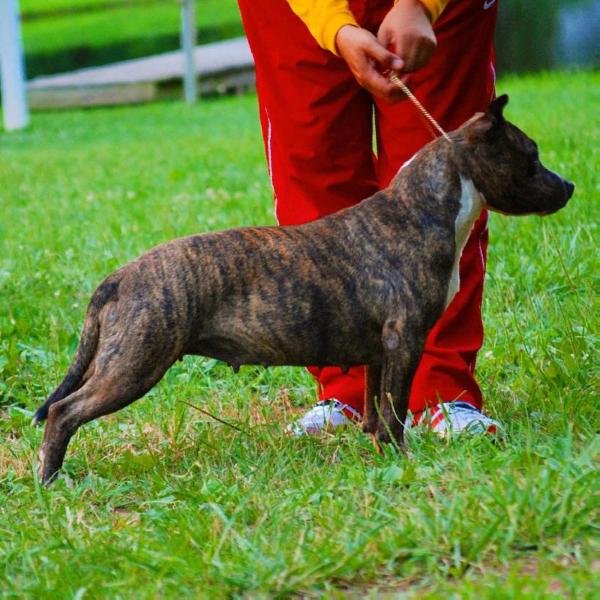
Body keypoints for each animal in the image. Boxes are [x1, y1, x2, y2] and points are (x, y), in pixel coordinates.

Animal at [35, 97, 576, 482]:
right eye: (531, 157)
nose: (569, 187)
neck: (425, 206)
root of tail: (120, 277)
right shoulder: (405, 341)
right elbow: (396, 409)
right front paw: (405, 460)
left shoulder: (379, 350)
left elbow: (377, 408)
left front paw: (379, 453)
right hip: (134, 364)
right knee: (63, 412)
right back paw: (53, 479)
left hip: (124, 359)